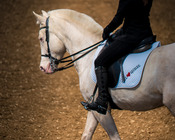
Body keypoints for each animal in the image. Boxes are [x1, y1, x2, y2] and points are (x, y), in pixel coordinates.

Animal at [33, 9, 175, 139]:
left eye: (41, 38)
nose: (43, 67)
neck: (89, 55)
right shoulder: (92, 107)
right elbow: (86, 135)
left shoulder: (101, 110)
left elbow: (114, 136)